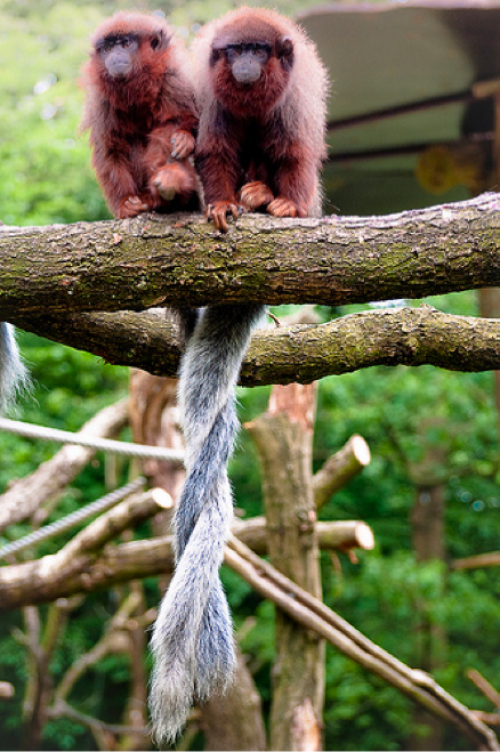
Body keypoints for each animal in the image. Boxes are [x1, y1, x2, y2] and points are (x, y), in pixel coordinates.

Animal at [80, 11, 200, 219]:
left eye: (125, 44)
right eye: (108, 48)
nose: (115, 54)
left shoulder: (175, 78)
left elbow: (175, 123)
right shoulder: (101, 101)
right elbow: (110, 149)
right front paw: (124, 202)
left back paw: (171, 186)